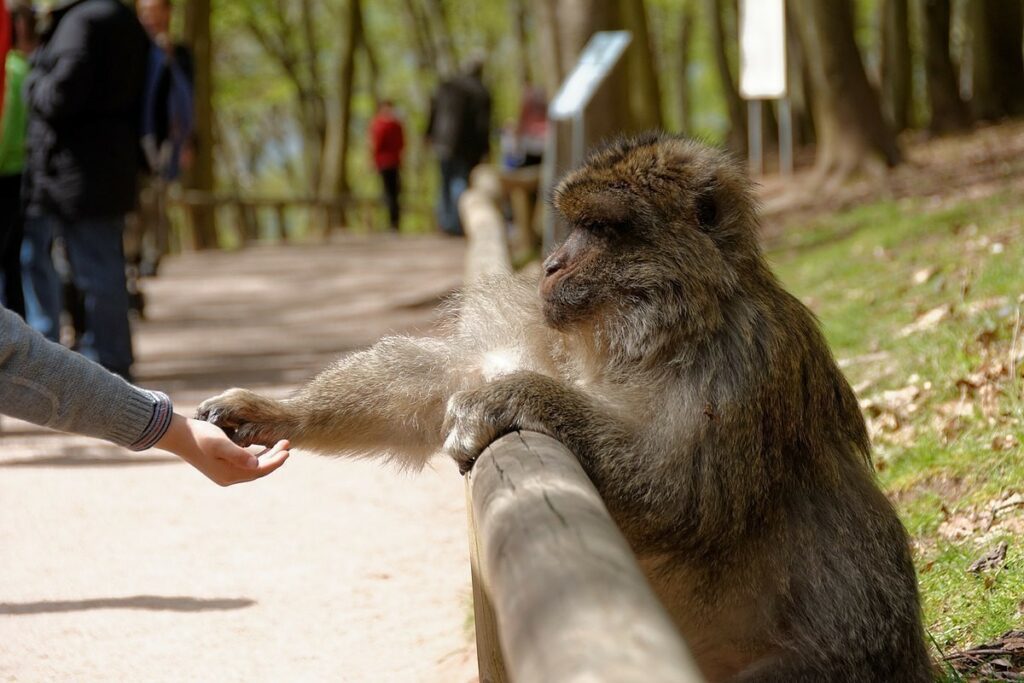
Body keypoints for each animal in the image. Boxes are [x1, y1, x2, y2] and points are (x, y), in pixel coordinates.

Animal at [195, 135, 933, 683]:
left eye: (601, 228)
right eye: (573, 224)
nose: (550, 263)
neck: (661, 336)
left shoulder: (746, 363)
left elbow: (684, 494)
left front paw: (512, 398)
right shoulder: (557, 327)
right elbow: (436, 380)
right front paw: (273, 409)